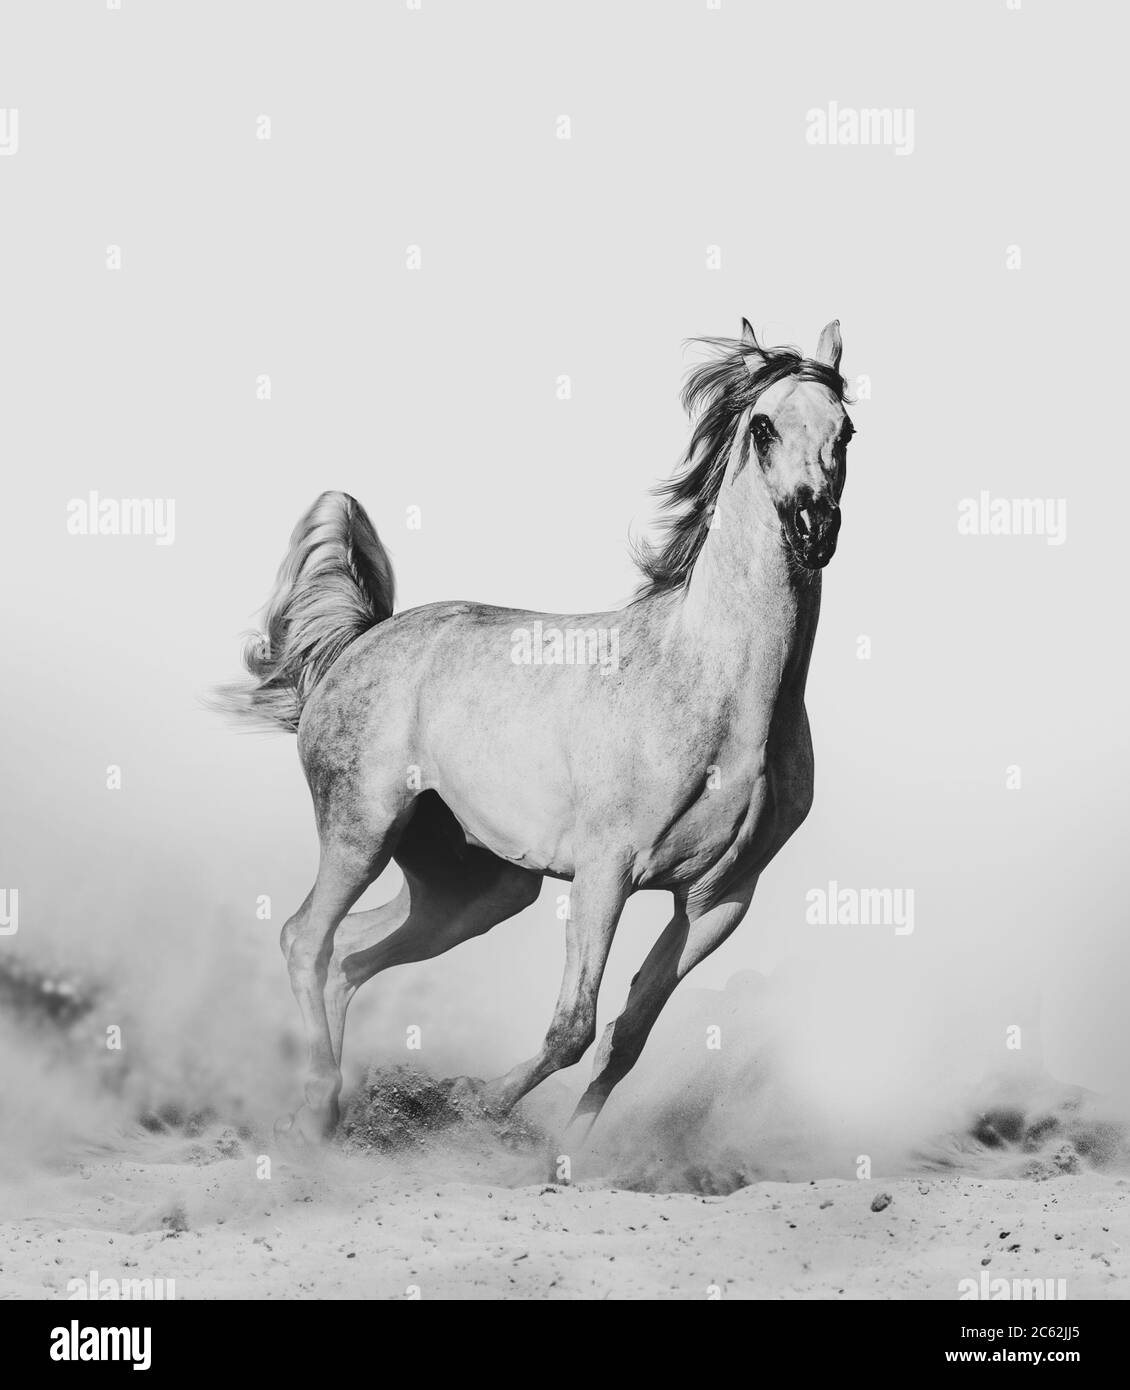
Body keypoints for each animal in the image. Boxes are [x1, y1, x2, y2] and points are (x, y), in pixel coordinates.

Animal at [215, 317, 854, 1158]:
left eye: (847, 431)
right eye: (764, 426)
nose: (814, 531)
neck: (715, 693)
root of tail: (357, 644)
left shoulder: (718, 900)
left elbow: (626, 1038)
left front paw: (564, 1157)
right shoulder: (607, 872)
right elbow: (573, 1028)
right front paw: (476, 1106)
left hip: (475, 887)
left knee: (350, 956)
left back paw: (335, 1117)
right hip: (362, 831)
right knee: (305, 938)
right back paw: (316, 1113)